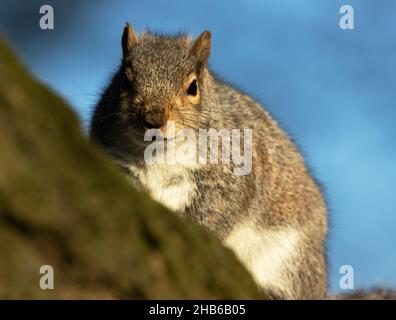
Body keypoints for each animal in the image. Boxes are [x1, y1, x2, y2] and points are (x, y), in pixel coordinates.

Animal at [89, 21, 328, 298]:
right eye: (125, 81)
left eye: (193, 87)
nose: (153, 119)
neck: (155, 155)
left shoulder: (228, 175)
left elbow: (215, 212)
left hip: (289, 256)